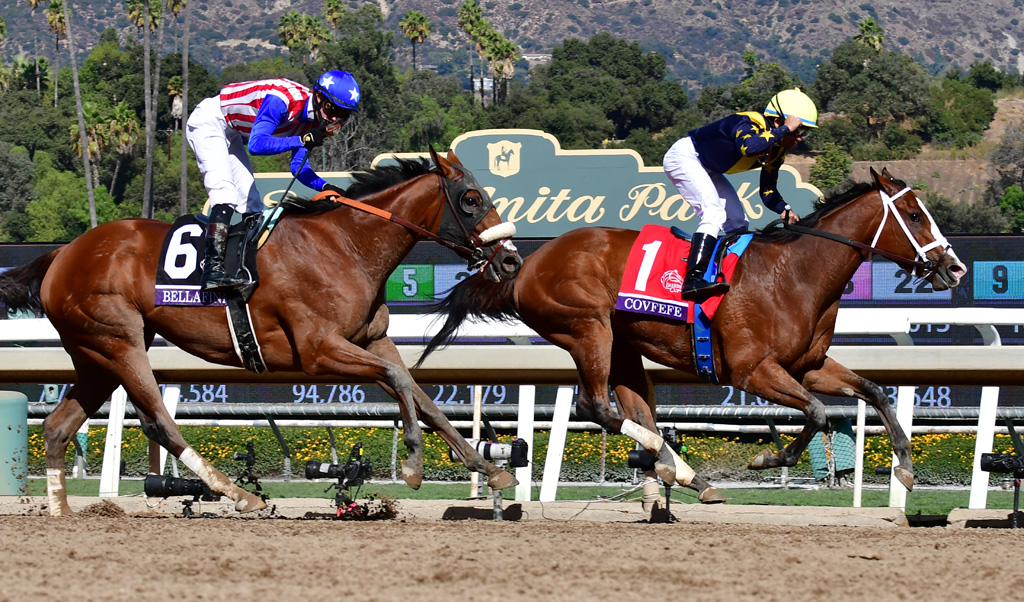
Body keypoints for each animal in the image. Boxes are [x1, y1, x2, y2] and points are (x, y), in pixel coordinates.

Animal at [0, 148, 524, 516]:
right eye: (471, 200)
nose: (512, 260)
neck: (346, 245)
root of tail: (62, 253)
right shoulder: (318, 351)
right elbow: (398, 384)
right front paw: (414, 464)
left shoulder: (373, 341)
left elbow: (422, 396)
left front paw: (488, 468)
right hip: (119, 341)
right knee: (159, 421)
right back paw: (237, 493)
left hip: (96, 355)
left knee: (57, 426)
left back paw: (61, 511)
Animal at [421, 166, 966, 501]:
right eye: (913, 215)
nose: (956, 268)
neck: (794, 273)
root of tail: (527, 264)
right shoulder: (751, 371)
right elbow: (814, 413)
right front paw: (769, 457)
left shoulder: (807, 366)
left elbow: (874, 390)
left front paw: (906, 466)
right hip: (588, 328)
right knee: (594, 405)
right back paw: (675, 466)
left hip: (624, 348)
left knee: (633, 409)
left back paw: (685, 474)